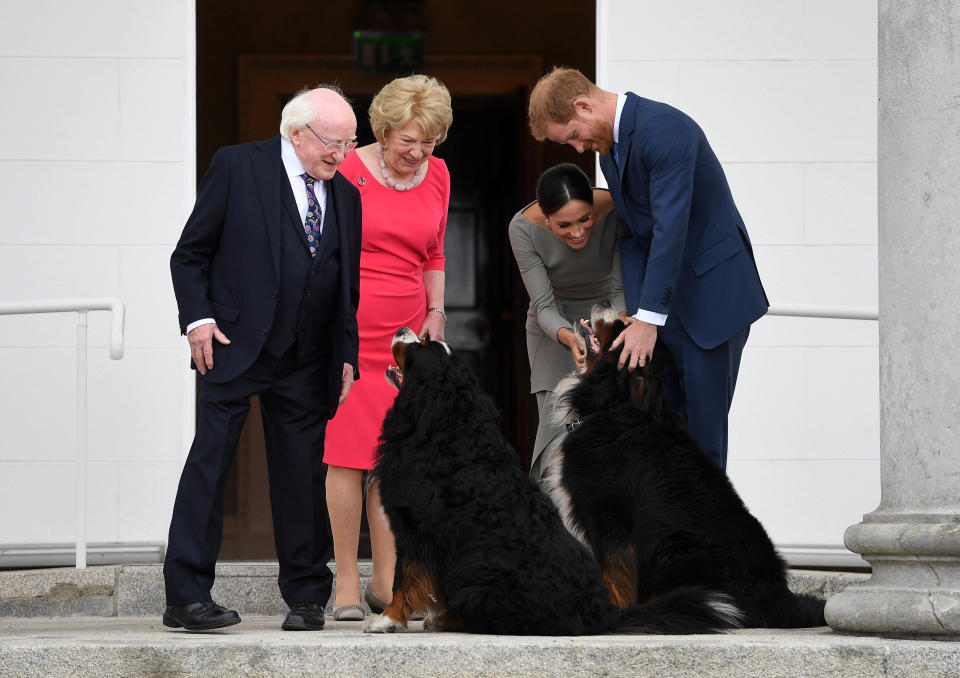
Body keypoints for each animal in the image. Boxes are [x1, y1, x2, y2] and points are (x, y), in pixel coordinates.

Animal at [362, 330, 744, 636]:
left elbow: (403, 578)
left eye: (422, 343)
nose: (402, 328)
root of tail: (603, 614)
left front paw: (386, 620)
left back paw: (447, 619)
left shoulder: (414, 527)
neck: (443, 425)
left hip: (478, 572)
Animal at [544, 306, 828, 628]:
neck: (616, 405)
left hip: (674, 549)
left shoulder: (608, 517)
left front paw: (614, 612)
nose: (604, 303)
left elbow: (614, 573)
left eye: (619, 329)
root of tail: (778, 596)